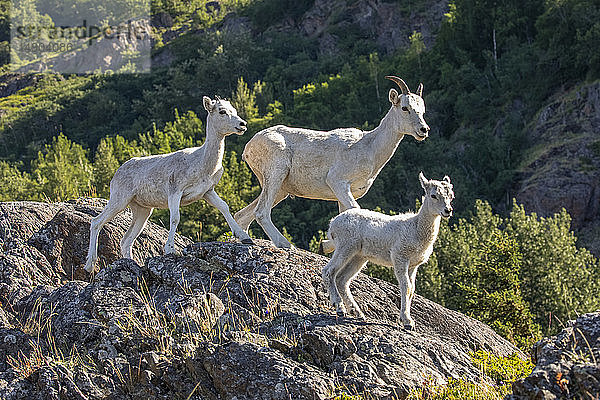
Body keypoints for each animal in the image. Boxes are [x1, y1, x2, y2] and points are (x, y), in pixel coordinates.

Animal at [84, 96, 253, 272]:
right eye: (222, 111)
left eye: (233, 110)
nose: (242, 124)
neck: (201, 163)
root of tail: (117, 173)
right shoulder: (175, 191)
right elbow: (175, 218)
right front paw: (170, 249)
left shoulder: (207, 192)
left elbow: (224, 207)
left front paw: (245, 238)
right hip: (119, 199)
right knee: (96, 222)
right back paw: (89, 265)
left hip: (142, 210)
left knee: (126, 240)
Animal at [236, 76, 432, 247]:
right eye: (405, 108)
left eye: (422, 110)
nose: (424, 130)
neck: (369, 148)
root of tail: (249, 147)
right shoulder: (337, 182)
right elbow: (355, 210)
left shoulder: (342, 194)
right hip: (276, 175)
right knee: (261, 212)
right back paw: (285, 244)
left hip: (280, 190)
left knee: (243, 215)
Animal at [322, 173, 452, 332]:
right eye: (433, 195)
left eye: (451, 196)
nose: (448, 210)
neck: (415, 229)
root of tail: (332, 225)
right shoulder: (400, 256)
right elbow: (406, 287)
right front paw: (407, 322)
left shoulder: (414, 264)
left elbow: (412, 289)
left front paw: (407, 319)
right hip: (345, 246)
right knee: (329, 271)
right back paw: (339, 307)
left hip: (359, 256)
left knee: (342, 279)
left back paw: (357, 312)